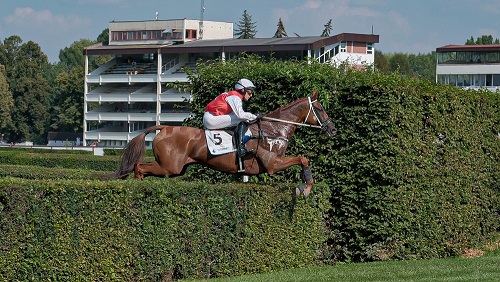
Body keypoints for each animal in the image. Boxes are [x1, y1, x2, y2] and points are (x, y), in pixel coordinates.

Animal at [115, 90, 336, 196]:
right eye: (320, 109)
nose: (333, 129)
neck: (274, 130)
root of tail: (164, 128)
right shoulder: (273, 164)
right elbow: (303, 159)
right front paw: (305, 188)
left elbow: (303, 159)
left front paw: (305, 186)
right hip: (170, 167)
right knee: (139, 166)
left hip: (175, 168)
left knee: (141, 167)